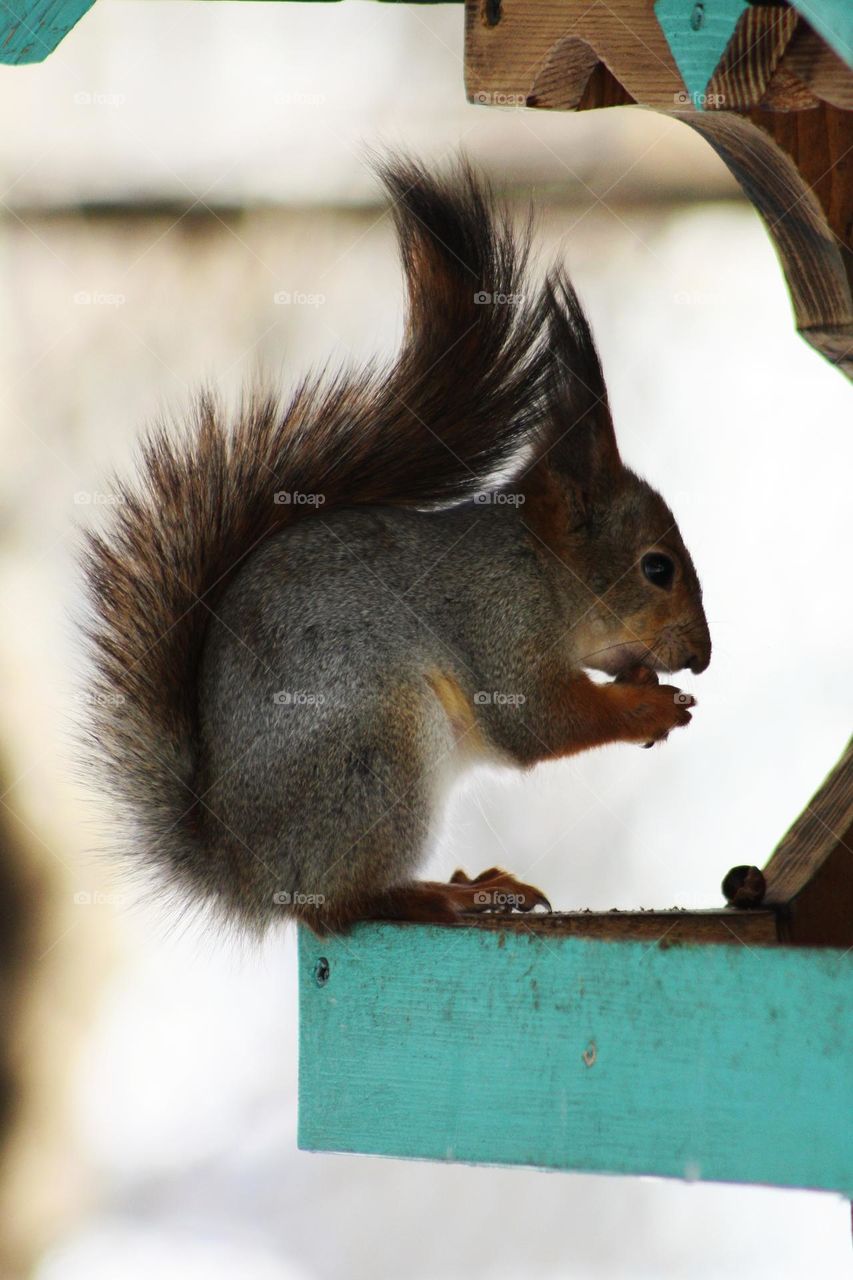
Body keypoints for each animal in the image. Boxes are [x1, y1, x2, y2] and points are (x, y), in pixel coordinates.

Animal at [83, 154, 711, 935]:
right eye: (657, 568)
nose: (702, 657)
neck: (541, 570)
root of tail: (244, 874)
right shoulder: (498, 622)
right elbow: (537, 721)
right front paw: (651, 708)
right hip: (378, 751)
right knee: (343, 904)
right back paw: (442, 894)